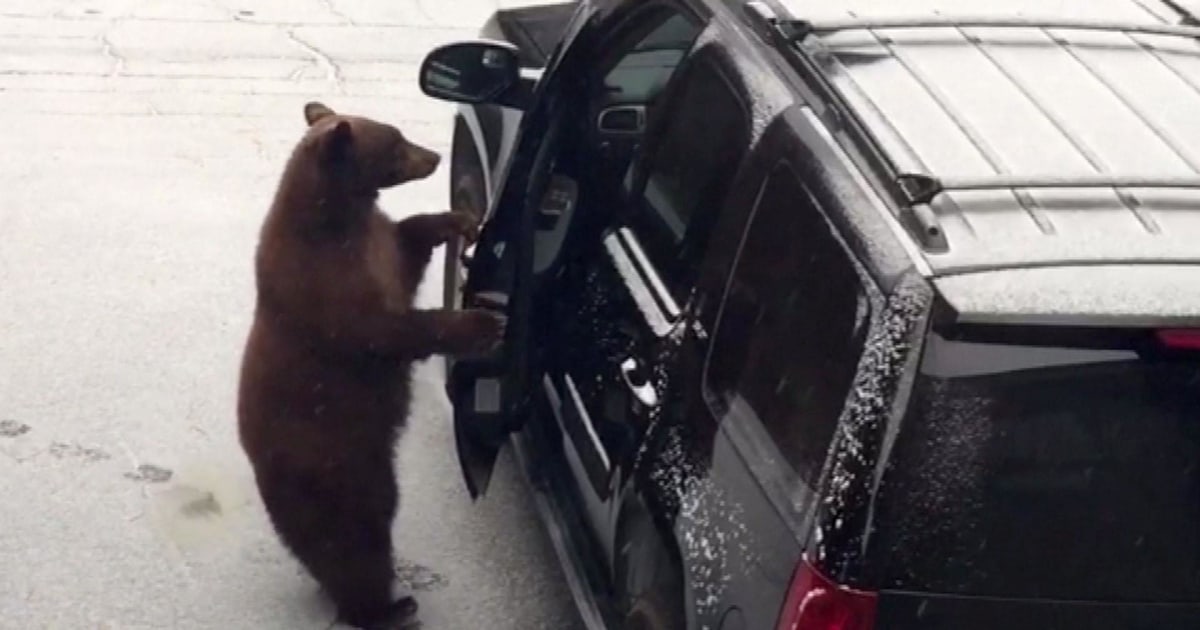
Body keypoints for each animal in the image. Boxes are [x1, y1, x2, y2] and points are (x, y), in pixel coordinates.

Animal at [237, 102, 505, 629]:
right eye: (397, 144)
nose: (435, 155)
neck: (338, 217)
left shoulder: (375, 242)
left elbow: (406, 242)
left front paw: (457, 219)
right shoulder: (324, 284)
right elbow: (388, 329)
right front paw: (483, 322)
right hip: (333, 473)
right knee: (353, 546)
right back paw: (387, 608)